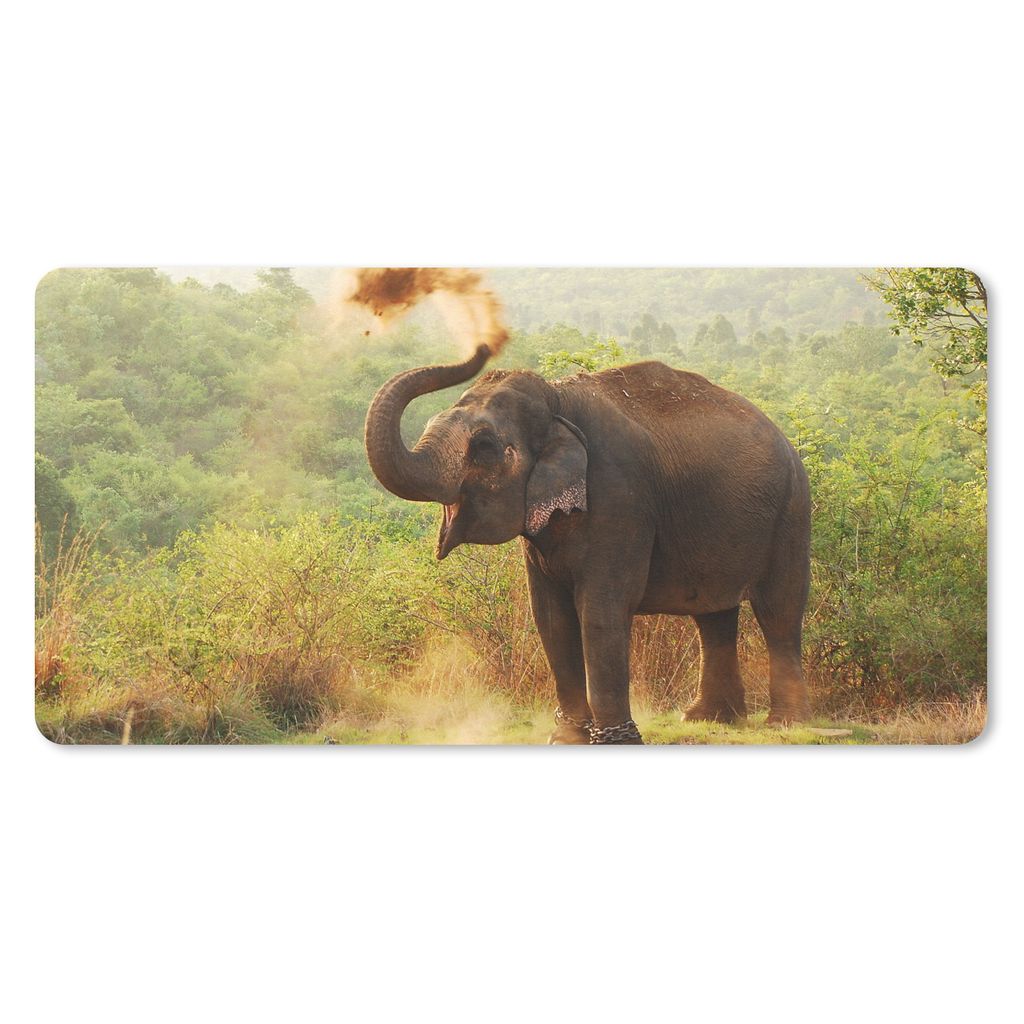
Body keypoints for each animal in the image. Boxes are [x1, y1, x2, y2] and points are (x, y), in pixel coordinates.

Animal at [364, 343, 811, 744]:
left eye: (485, 447)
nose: (484, 344)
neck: (558, 400)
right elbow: (550, 616)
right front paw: (567, 738)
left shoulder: (620, 496)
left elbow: (601, 610)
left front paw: (617, 740)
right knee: (713, 615)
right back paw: (707, 720)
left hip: (791, 511)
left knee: (779, 609)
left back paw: (784, 724)